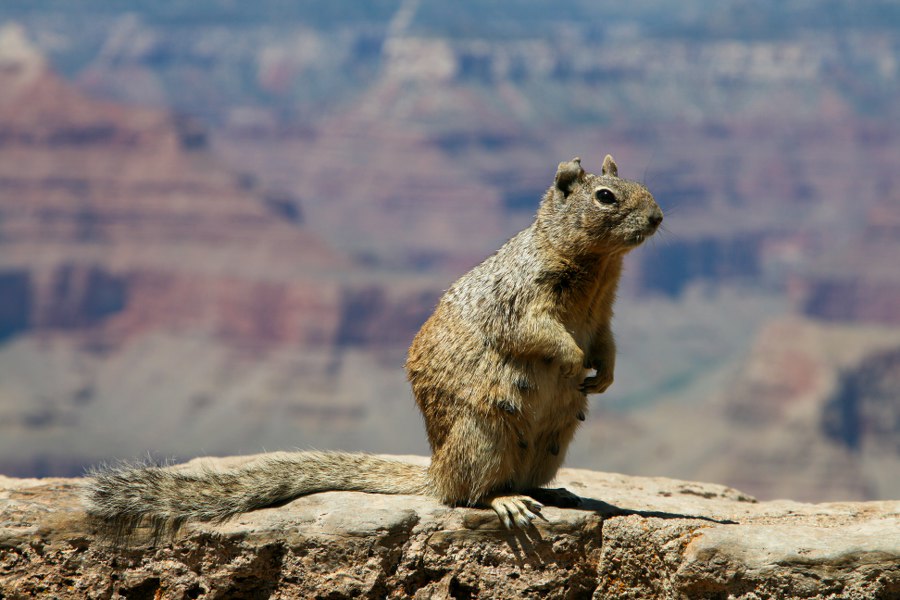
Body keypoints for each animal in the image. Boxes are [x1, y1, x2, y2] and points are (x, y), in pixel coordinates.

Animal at [84, 154, 662, 535]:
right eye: (605, 196)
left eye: (640, 183)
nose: (659, 218)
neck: (600, 269)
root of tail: (436, 472)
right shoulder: (523, 299)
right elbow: (538, 334)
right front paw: (574, 362)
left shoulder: (603, 315)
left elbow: (607, 342)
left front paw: (604, 375)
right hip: (485, 436)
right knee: (468, 496)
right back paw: (508, 503)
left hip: (549, 445)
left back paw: (552, 491)